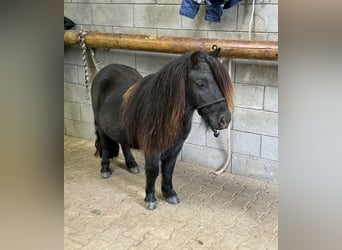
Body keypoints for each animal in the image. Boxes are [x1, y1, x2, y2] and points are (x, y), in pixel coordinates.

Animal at [91, 47, 234, 210]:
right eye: (200, 83)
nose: (224, 119)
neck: (163, 112)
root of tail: (103, 71)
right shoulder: (152, 148)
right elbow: (153, 171)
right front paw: (150, 198)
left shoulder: (175, 146)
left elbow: (168, 170)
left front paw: (169, 194)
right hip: (101, 127)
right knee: (105, 146)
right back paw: (105, 169)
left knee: (124, 144)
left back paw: (131, 165)